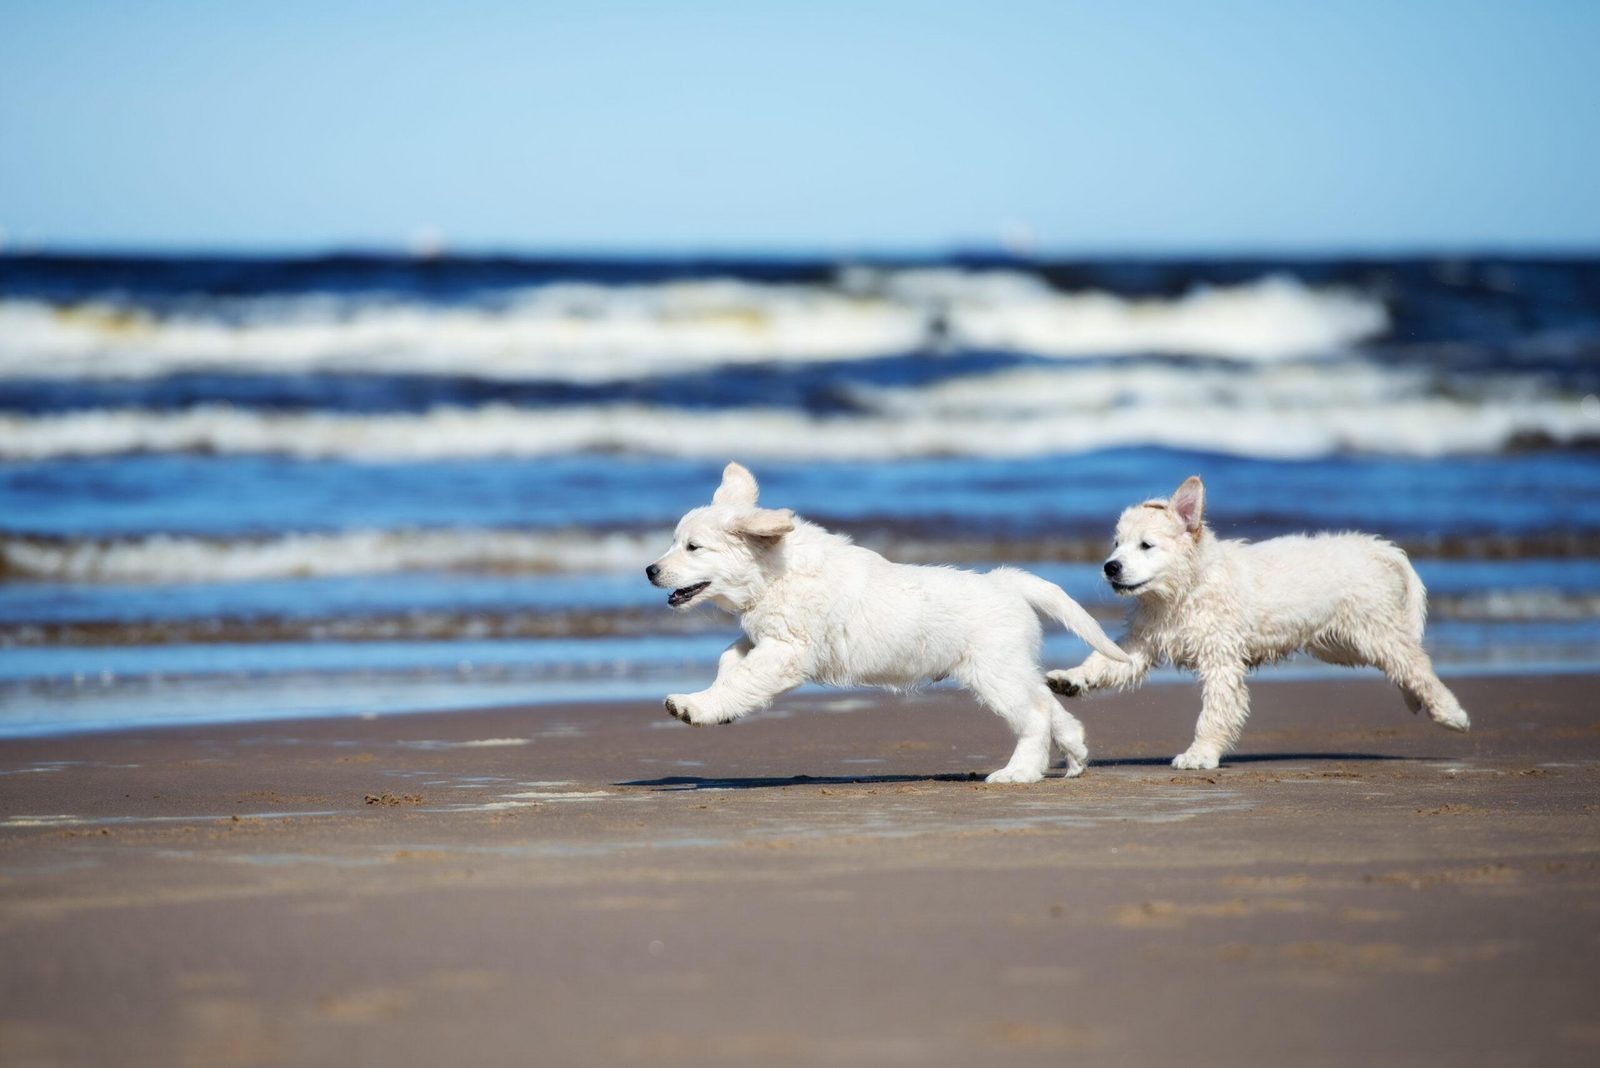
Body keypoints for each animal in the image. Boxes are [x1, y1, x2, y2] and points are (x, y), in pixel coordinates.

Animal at [643, 460, 1132, 783]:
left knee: (1033, 715)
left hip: (994, 673)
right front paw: (716, 698)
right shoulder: (769, 639)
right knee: (1050, 706)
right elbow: (731, 656)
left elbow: (741, 680)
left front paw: (696, 707)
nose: (650, 570)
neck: (775, 574)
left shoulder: (787, 653)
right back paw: (1075, 755)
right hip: (1012, 667)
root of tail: (1006, 582)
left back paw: (1019, 773)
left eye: (692, 548)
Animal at [1043, 476, 1465, 767]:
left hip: (1371, 630)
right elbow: (1105, 662)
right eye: (1116, 544)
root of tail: (1373, 546)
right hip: (1339, 644)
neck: (1182, 593)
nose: (1110, 567)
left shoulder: (1220, 658)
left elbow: (1215, 712)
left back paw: (1450, 713)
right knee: (1402, 665)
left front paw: (1200, 754)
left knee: (1415, 663)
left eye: (1146, 545)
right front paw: (1071, 678)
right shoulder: (1142, 641)